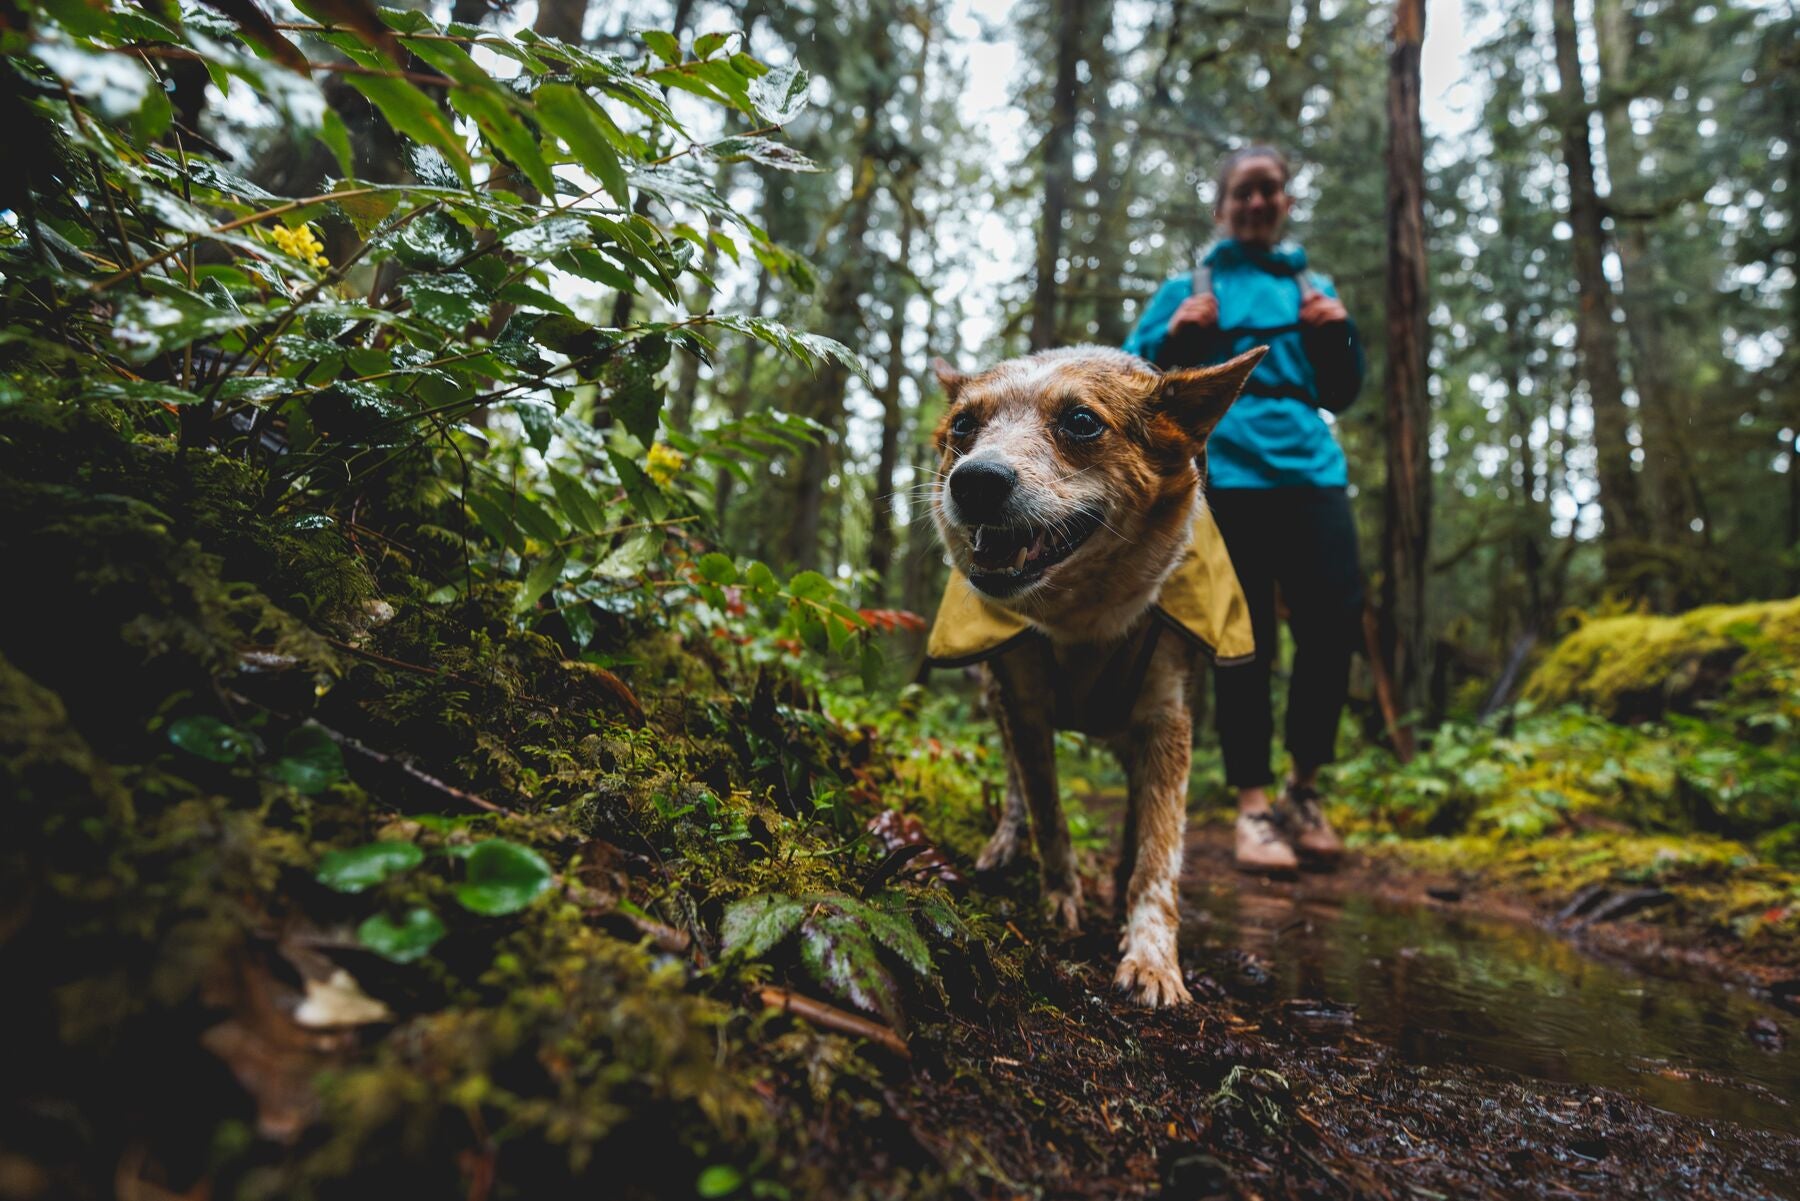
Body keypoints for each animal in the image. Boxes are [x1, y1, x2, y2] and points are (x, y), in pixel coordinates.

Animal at [928, 342, 1267, 1008]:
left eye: (1082, 422)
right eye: (962, 426)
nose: (974, 480)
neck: (1082, 619)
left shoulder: (1166, 717)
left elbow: (1158, 851)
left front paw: (1153, 957)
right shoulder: (1024, 704)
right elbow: (1048, 813)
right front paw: (1061, 900)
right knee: (1014, 784)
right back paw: (1004, 844)